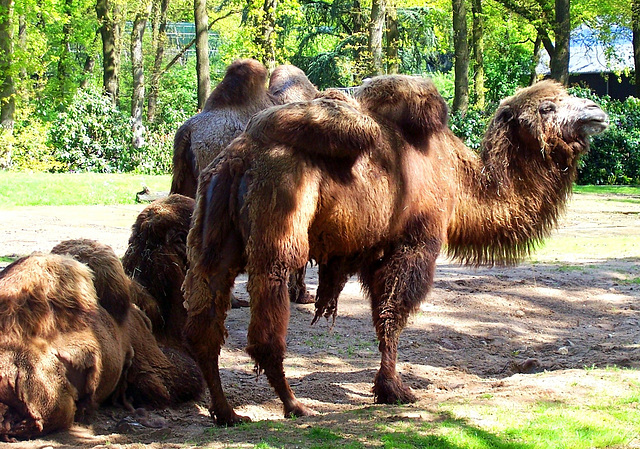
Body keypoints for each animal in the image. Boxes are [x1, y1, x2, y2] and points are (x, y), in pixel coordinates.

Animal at [181, 76, 608, 424]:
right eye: (547, 107)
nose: (597, 112)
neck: (457, 177)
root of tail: (241, 155)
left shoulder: (375, 250)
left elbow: (382, 314)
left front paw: (388, 387)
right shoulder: (415, 243)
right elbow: (393, 315)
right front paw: (395, 390)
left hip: (211, 224)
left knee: (206, 312)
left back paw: (227, 412)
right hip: (280, 215)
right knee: (267, 312)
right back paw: (294, 406)